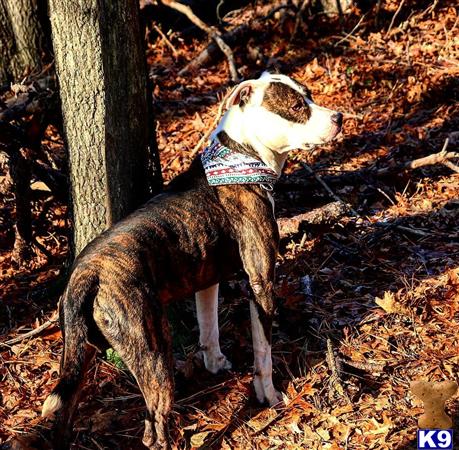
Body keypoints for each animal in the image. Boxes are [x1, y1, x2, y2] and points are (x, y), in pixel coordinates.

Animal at [43, 72, 344, 448]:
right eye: (296, 106)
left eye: (310, 95)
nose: (339, 117)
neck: (241, 156)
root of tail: (86, 274)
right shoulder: (260, 280)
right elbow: (263, 350)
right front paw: (268, 395)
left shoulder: (207, 279)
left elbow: (208, 324)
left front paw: (214, 363)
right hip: (153, 351)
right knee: (154, 424)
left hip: (77, 354)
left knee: (65, 412)